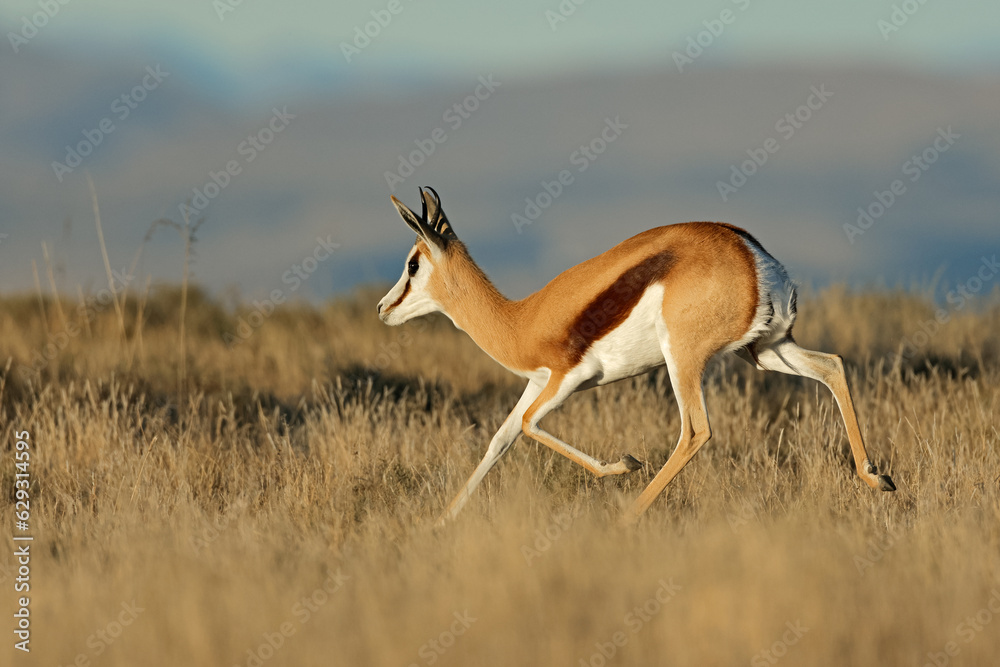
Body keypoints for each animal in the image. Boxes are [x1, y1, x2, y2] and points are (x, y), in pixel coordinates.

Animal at [378, 188, 896, 528]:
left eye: (413, 263)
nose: (383, 308)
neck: (520, 320)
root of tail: (751, 253)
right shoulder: (537, 383)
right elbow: (500, 439)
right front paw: (438, 525)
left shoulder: (569, 378)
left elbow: (527, 426)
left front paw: (625, 464)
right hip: (765, 349)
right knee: (833, 365)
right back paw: (877, 479)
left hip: (684, 359)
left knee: (695, 431)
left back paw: (626, 518)